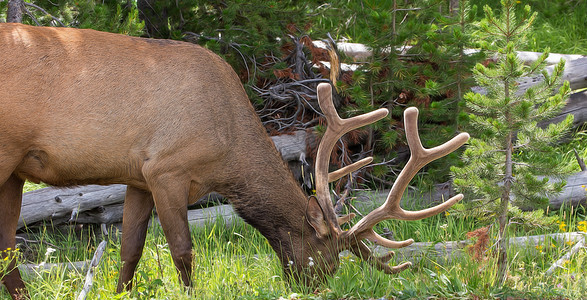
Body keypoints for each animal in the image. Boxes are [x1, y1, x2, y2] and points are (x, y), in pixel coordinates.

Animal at [0, 24, 468, 300]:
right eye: (326, 258)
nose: (313, 290)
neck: (227, 154)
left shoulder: (138, 175)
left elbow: (130, 249)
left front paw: (121, 292)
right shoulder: (167, 169)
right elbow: (182, 251)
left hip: (13, 172)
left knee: (7, 246)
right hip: (6, 154)